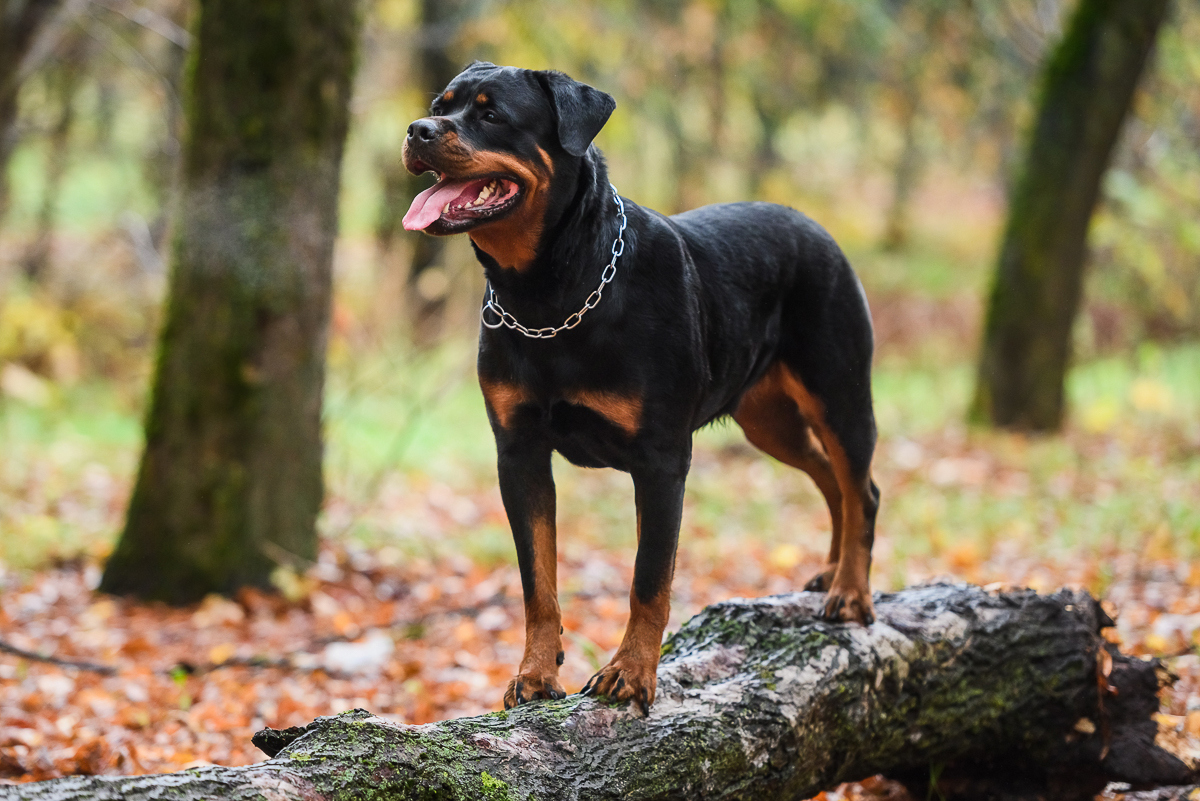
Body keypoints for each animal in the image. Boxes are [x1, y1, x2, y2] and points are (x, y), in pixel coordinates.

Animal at [403, 62, 883, 714]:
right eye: (440, 106)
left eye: (492, 114)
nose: (416, 129)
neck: (549, 294)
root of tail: (816, 227)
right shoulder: (519, 453)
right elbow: (538, 581)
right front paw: (535, 675)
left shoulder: (661, 460)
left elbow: (649, 579)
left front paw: (630, 675)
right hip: (769, 420)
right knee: (830, 478)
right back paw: (831, 572)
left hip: (840, 392)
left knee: (861, 488)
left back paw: (851, 593)